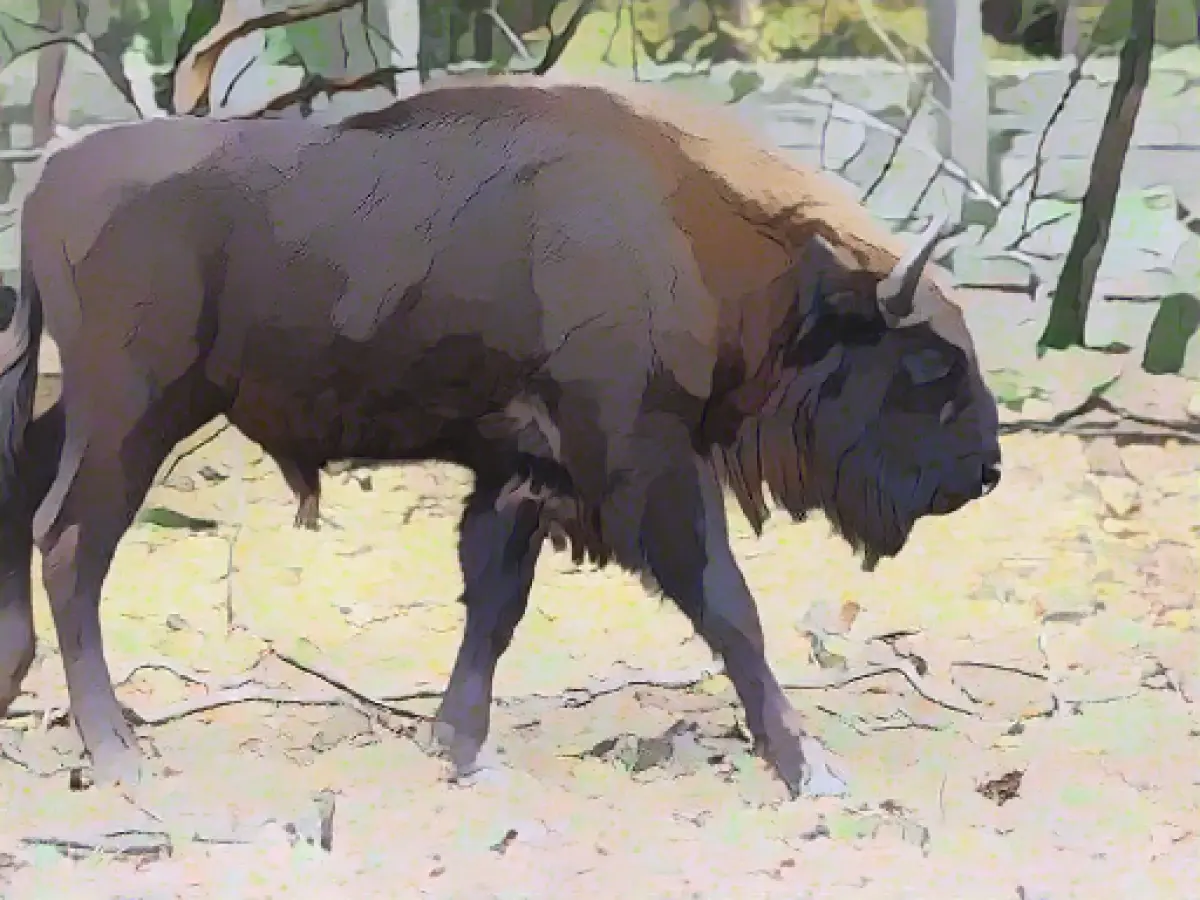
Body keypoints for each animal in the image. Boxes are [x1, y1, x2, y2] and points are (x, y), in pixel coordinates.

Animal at [0, 74, 1001, 796]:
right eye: (929, 365)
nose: (986, 470)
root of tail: (52, 173)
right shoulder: (642, 463)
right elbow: (727, 604)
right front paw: (811, 769)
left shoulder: (525, 473)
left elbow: (494, 602)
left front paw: (459, 746)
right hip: (134, 411)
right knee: (70, 541)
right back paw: (118, 753)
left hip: (101, 409)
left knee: (24, 493)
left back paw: (24, 687)